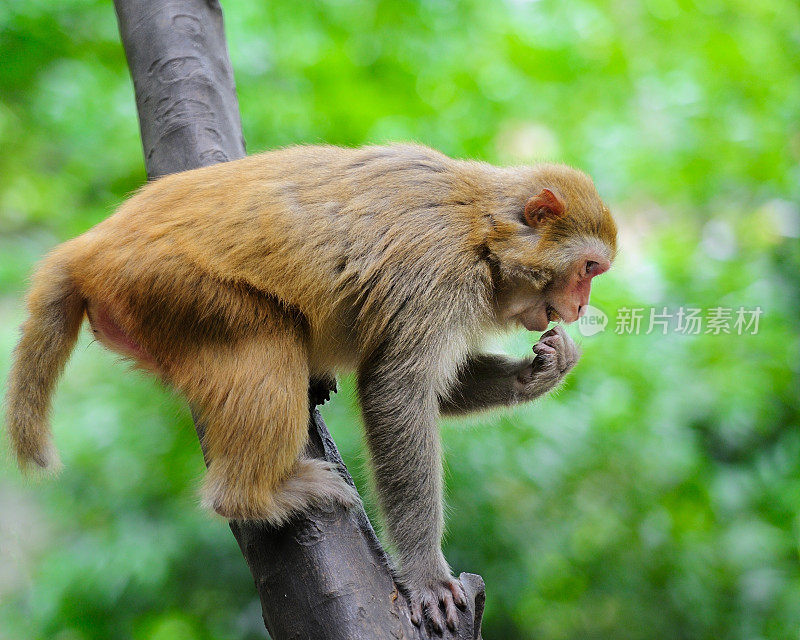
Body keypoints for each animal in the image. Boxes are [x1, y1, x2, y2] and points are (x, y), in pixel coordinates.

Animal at [3, 144, 620, 632]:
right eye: (588, 268)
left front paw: (544, 369)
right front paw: (426, 575)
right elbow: (395, 389)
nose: (580, 308)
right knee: (266, 340)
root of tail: (92, 245)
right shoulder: (437, 275)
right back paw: (258, 494)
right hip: (173, 287)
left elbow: (420, 387)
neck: (483, 233)